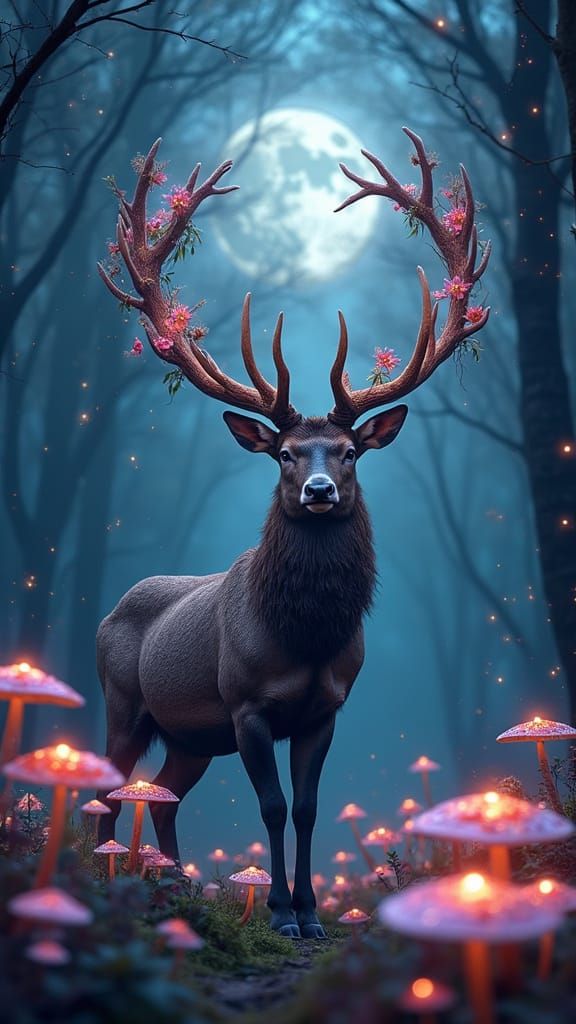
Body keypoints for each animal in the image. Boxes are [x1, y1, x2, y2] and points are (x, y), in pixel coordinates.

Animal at [95, 127, 489, 938]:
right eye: (284, 454)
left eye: (348, 453)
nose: (317, 490)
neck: (302, 637)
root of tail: (108, 614)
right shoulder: (245, 704)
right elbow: (273, 806)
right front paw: (277, 912)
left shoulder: (326, 708)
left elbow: (307, 808)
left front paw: (310, 912)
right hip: (124, 701)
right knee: (109, 789)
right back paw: (99, 880)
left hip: (190, 736)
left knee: (163, 794)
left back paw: (175, 884)